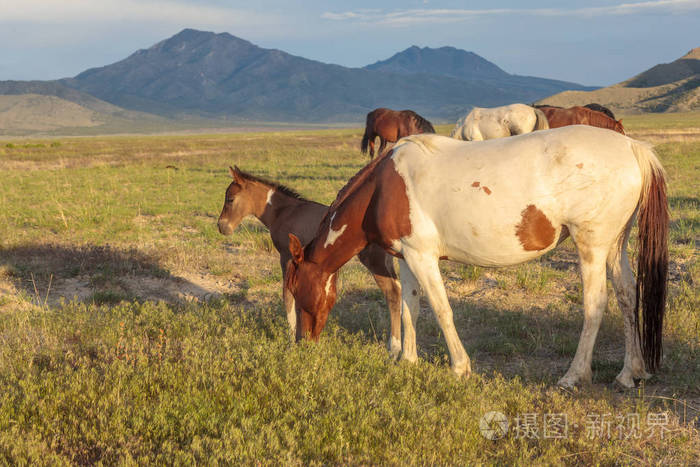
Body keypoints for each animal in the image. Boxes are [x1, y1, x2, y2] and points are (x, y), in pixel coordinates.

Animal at [219, 166, 402, 356]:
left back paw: (394, 348)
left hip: (374, 261)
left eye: (230, 199)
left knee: (393, 292)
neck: (283, 212)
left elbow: (288, 297)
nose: (221, 226)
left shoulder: (286, 257)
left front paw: (292, 339)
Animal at [284, 126, 668, 390]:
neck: (383, 187)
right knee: (626, 294)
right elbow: (410, 308)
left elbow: (441, 310)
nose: (302, 342)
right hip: (615, 246)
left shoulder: (423, 258)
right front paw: (407, 360)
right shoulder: (408, 259)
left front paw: (459, 367)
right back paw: (630, 372)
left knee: (595, 304)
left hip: (592, 247)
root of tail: (632, 147)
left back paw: (574, 375)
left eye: (298, 291)